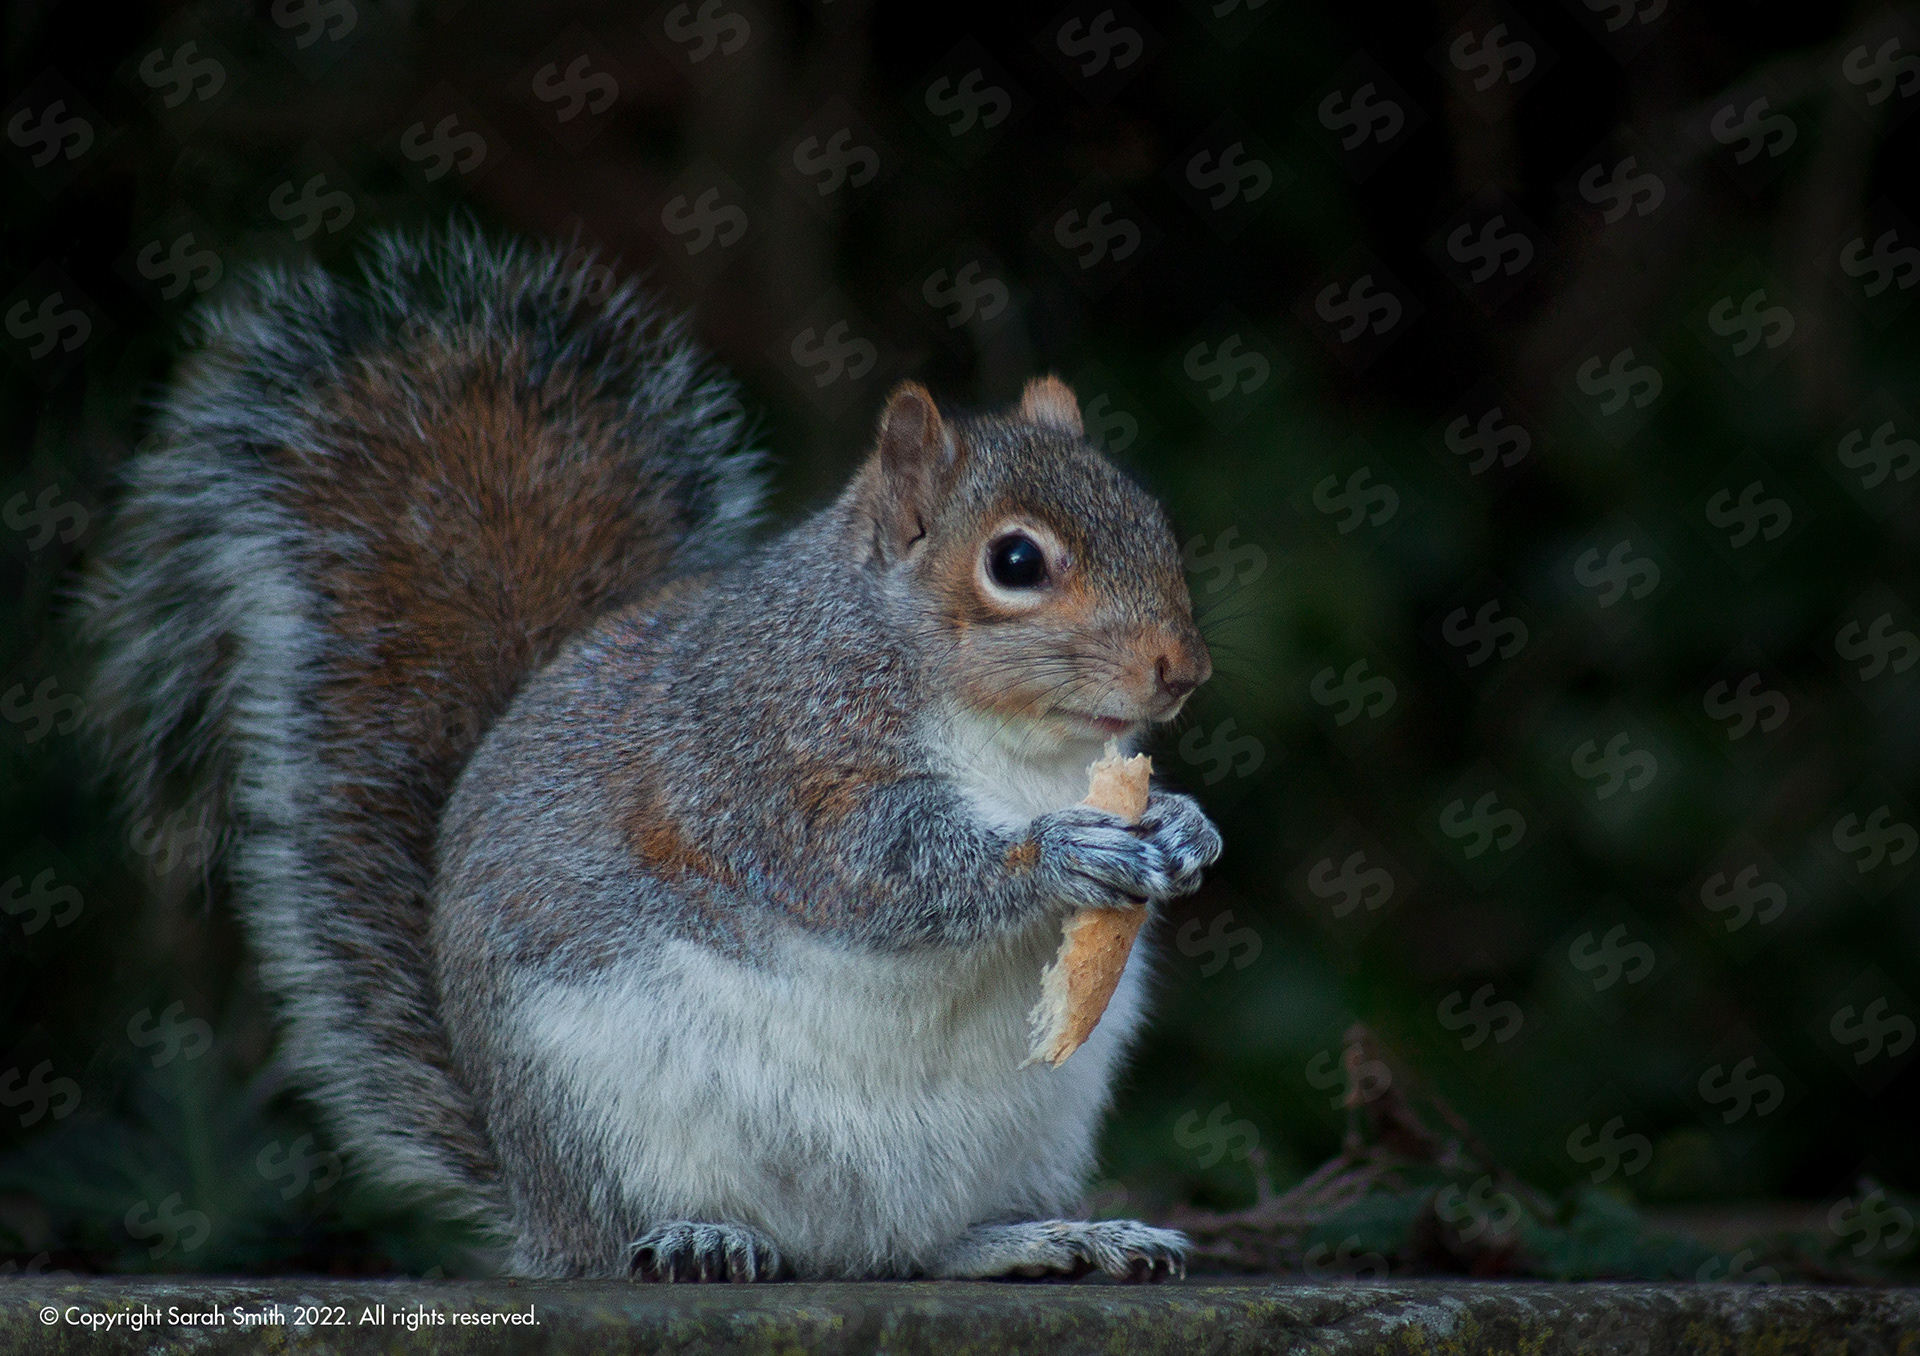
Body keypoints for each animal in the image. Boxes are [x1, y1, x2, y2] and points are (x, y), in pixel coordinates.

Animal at [82, 227, 1222, 1282]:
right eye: (1015, 561)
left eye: (1154, 518)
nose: (1185, 669)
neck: (1013, 741)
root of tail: (535, 1205)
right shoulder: (769, 758)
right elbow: (879, 871)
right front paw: (1064, 850)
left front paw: (1184, 827)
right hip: (602, 1111)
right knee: (641, 1235)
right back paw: (699, 1238)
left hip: (1038, 1115)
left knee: (925, 1249)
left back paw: (1057, 1237)